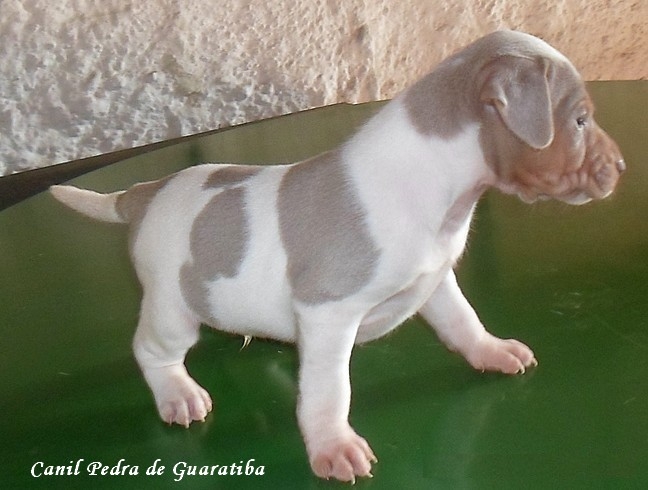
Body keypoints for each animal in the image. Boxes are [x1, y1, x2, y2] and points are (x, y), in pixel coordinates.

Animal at [49, 30, 624, 482]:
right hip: (172, 310)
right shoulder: (329, 315)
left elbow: (464, 322)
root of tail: (143, 194)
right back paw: (177, 393)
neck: (438, 189)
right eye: (579, 120)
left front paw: (492, 351)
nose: (620, 166)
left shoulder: (436, 283)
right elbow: (329, 390)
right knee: (152, 350)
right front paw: (332, 445)